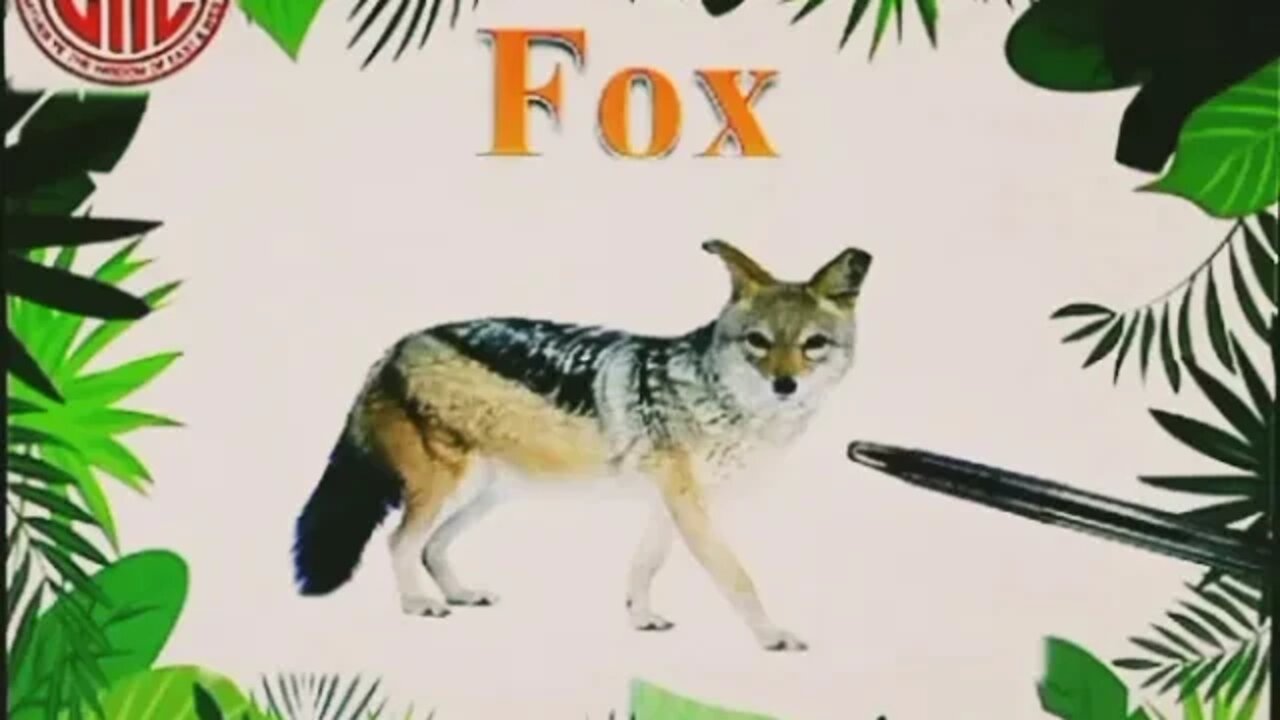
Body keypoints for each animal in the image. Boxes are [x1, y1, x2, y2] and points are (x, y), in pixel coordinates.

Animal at [291, 240, 873, 652]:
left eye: (813, 345)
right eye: (758, 342)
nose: (785, 385)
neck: (718, 396)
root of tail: (395, 347)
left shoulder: (670, 505)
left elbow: (643, 567)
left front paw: (641, 618)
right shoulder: (690, 505)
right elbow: (738, 577)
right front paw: (772, 636)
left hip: (488, 494)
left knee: (431, 545)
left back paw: (459, 594)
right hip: (448, 487)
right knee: (400, 542)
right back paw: (419, 604)